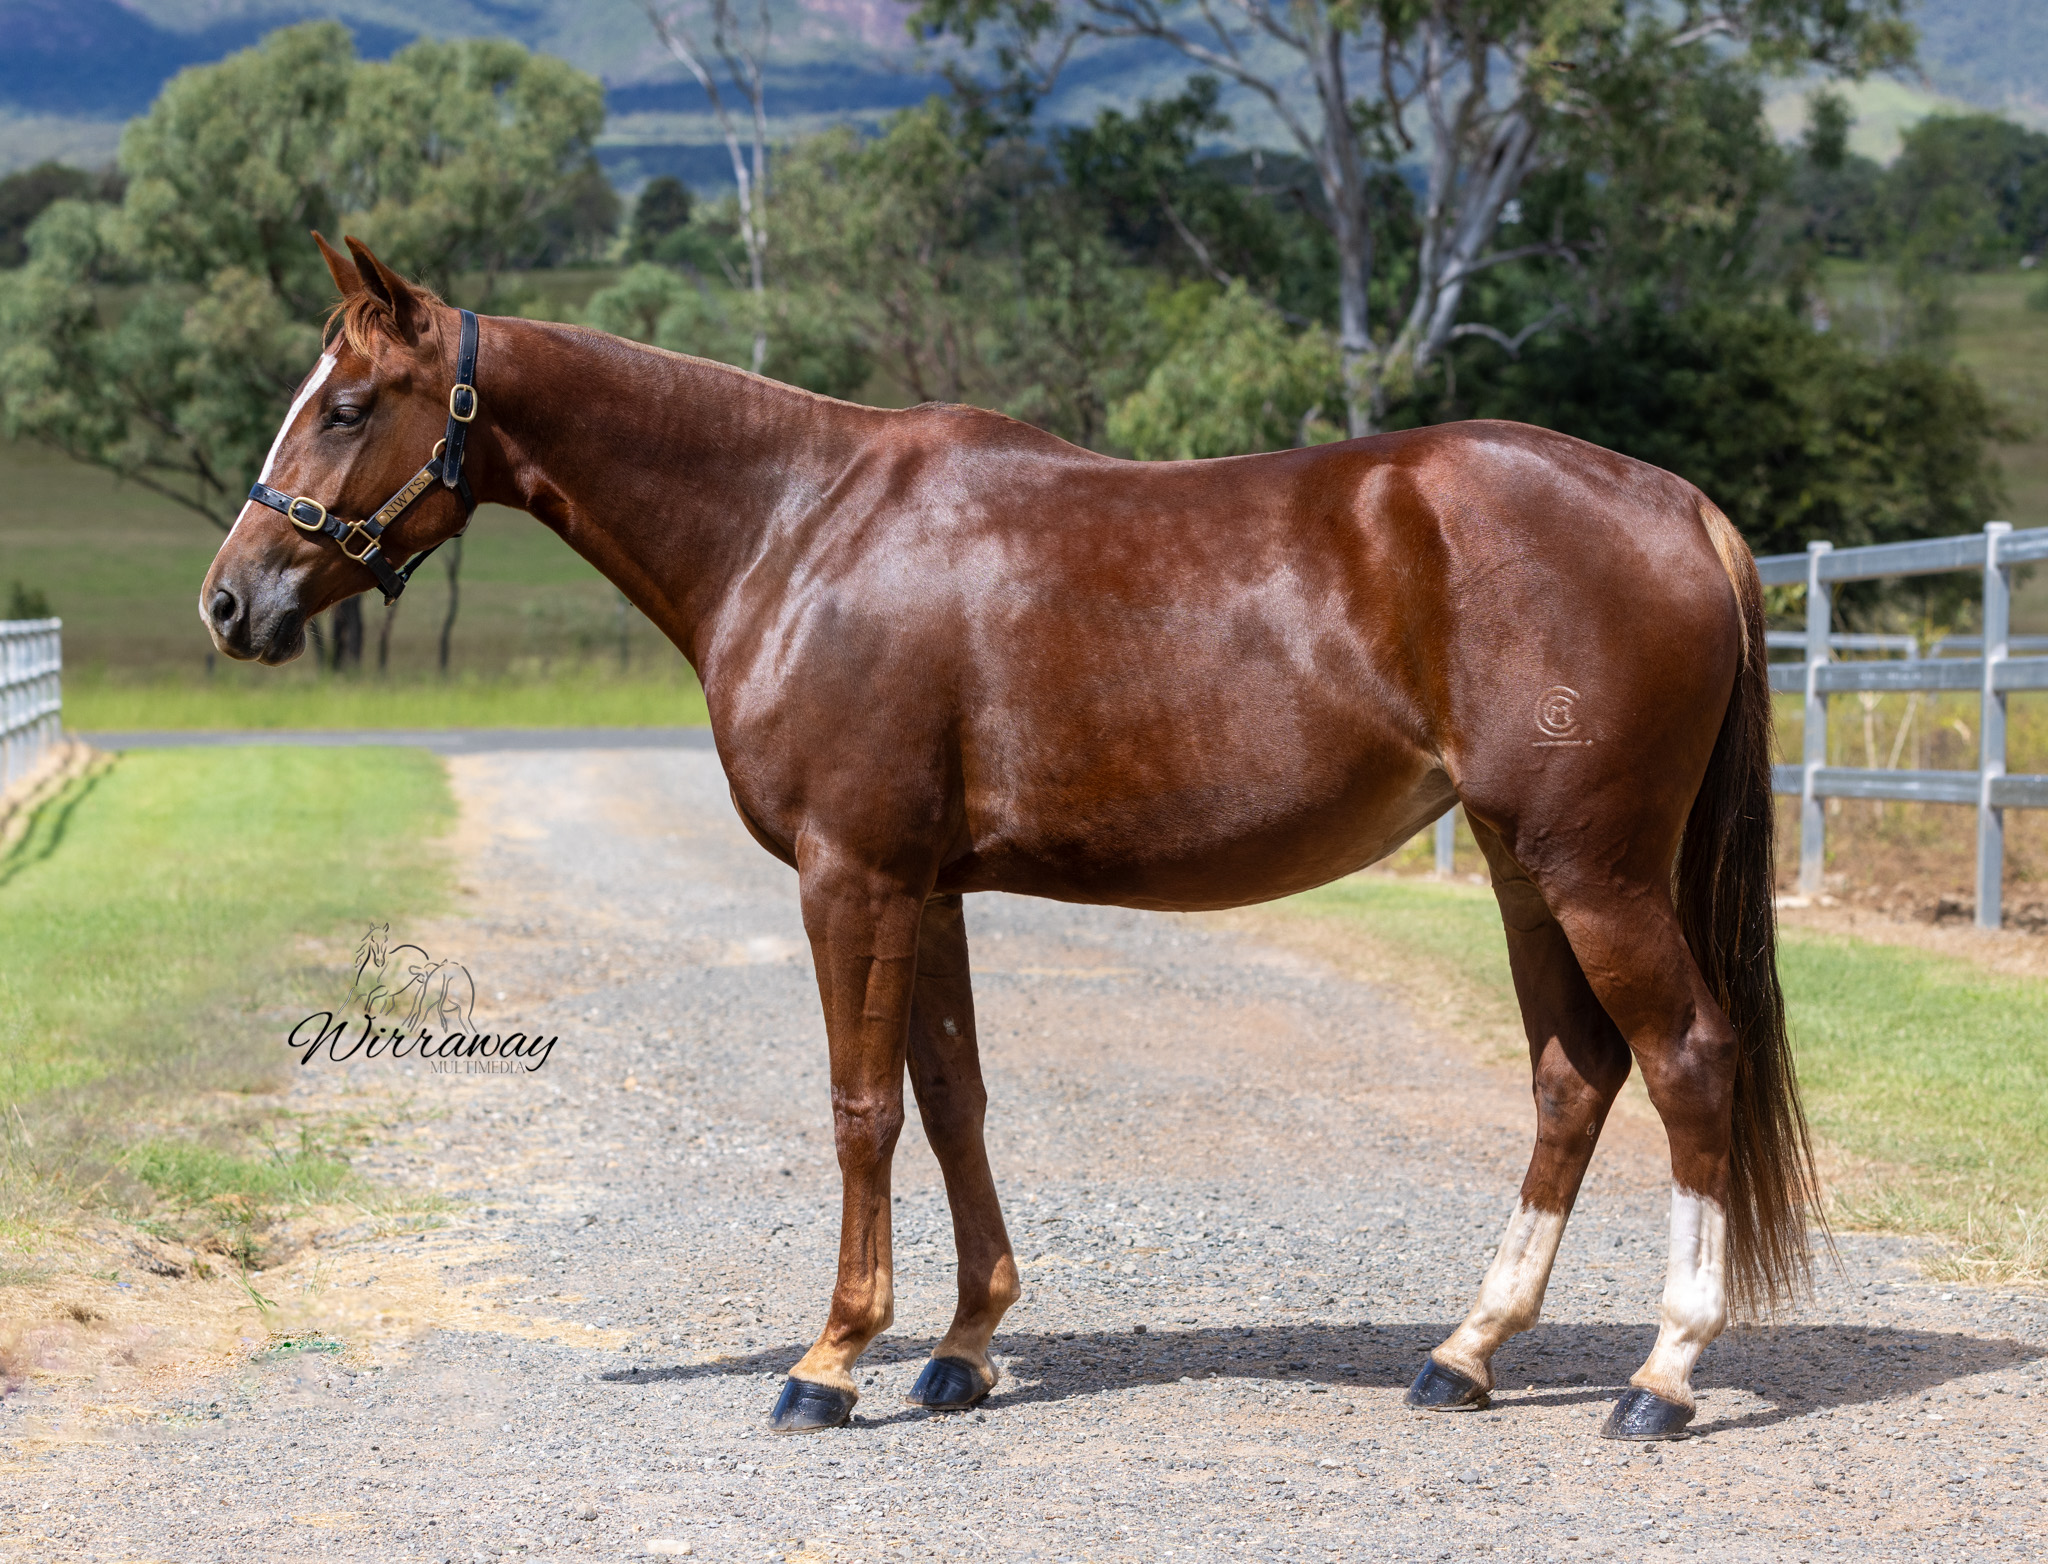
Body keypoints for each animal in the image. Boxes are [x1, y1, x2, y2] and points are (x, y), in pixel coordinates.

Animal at [202, 235, 1820, 1441]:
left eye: (348, 405)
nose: (231, 600)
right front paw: (963, 1346)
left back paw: (1661, 1375)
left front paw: (830, 1361)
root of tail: (1678, 507)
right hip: (1522, 866)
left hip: (1590, 867)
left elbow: (861, 1109)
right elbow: (953, 1099)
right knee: (1573, 1075)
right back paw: (1466, 1351)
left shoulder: (852, 874)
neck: (797, 527)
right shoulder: (931, 888)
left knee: (1686, 1060)